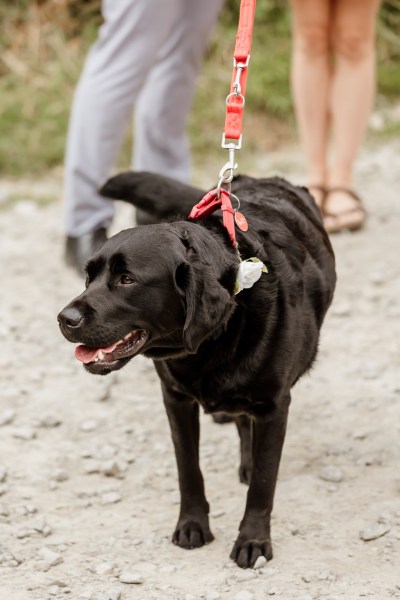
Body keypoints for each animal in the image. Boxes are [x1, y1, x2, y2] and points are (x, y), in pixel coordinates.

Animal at [57, 172, 336, 568]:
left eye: (127, 279)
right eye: (88, 278)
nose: (65, 318)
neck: (211, 344)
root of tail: (266, 179)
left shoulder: (274, 406)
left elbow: (264, 482)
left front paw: (253, 539)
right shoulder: (175, 400)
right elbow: (188, 469)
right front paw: (192, 524)